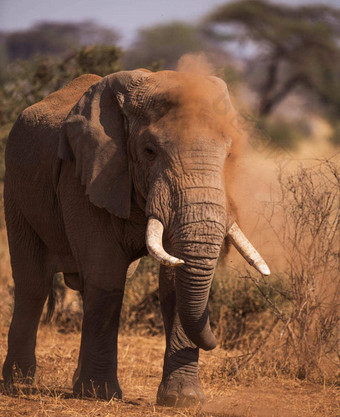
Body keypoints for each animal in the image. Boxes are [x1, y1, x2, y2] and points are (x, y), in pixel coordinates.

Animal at [1, 69, 270, 406]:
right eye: (149, 151)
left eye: (229, 153)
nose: (216, 341)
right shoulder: (84, 174)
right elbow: (105, 273)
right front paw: (100, 395)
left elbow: (172, 281)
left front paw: (184, 400)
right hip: (15, 188)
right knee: (33, 284)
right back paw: (18, 384)